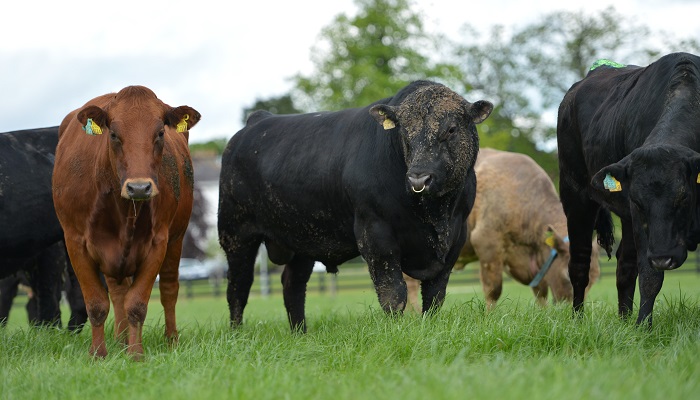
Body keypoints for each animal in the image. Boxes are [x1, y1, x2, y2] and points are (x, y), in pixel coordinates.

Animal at [52, 85, 200, 359]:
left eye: (160, 132)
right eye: (113, 134)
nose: (139, 187)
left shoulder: (158, 242)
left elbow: (137, 304)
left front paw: (135, 354)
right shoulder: (75, 242)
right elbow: (97, 304)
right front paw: (98, 354)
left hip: (177, 238)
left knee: (169, 290)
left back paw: (169, 340)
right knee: (118, 292)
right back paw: (119, 341)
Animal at [218, 80, 493, 332]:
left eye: (451, 129)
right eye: (404, 133)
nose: (418, 179)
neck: (434, 216)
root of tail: (257, 120)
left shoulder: (456, 237)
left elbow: (435, 294)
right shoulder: (375, 234)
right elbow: (393, 292)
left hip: (302, 238)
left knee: (292, 285)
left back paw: (300, 333)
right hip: (236, 233)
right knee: (238, 286)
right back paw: (237, 334)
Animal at [405, 148, 600, 312]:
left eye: (595, 278)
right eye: (567, 275)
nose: (572, 312)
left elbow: (540, 290)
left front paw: (543, 314)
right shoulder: (487, 242)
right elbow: (494, 289)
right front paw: (489, 316)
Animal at [557, 52, 700, 326]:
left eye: (684, 197)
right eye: (638, 201)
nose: (663, 258)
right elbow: (650, 276)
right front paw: (644, 326)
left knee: (625, 265)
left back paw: (624, 321)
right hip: (575, 196)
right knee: (579, 264)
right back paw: (577, 320)